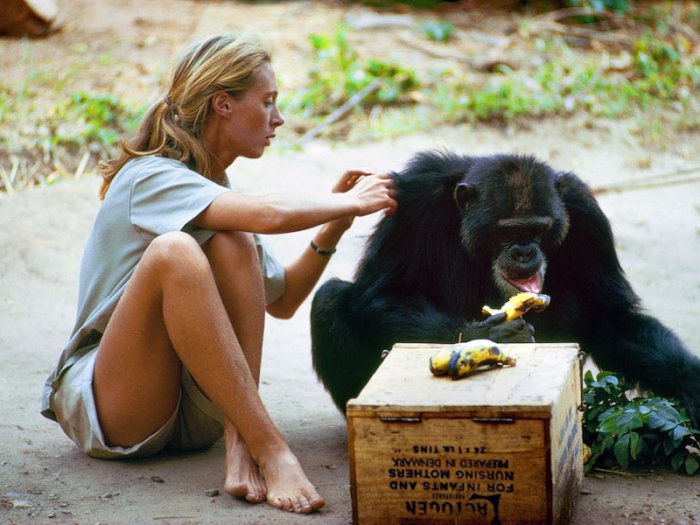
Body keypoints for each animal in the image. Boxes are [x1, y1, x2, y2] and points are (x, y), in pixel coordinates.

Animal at [312, 148, 700, 426]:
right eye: (508, 230)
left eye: (539, 228)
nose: (524, 250)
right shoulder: (413, 199)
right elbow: (380, 293)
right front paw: (487, 336)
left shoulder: (586, 214)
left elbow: (609, 316)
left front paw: (691, 384)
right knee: (330, 297)